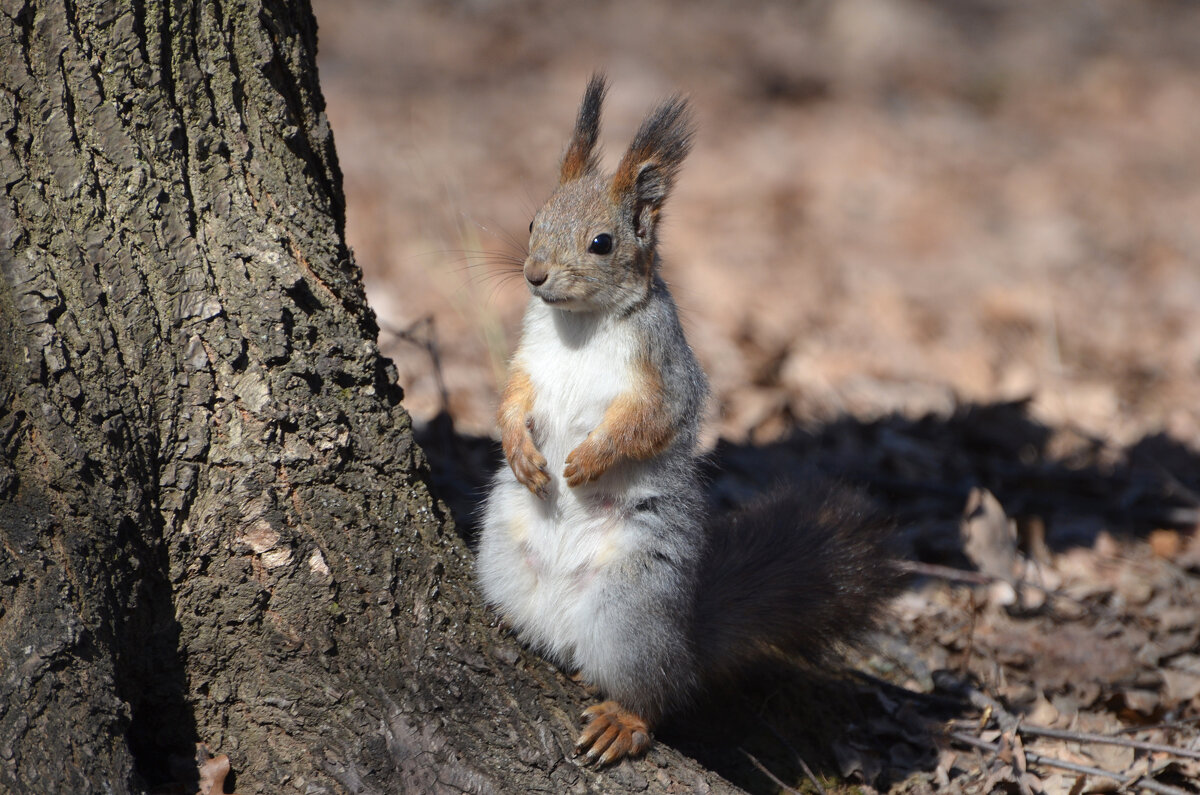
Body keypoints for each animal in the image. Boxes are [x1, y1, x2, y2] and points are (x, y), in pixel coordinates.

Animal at [472, 74, 897, 768]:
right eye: (534, 218)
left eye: (602, 242)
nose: (534, 275)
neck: (579, 324)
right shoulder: (527, 361)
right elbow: (510, 401)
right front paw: (523, 455)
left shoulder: (666, 371)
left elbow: (651, 421)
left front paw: (586, 460)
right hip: (506, 561)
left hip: (633, 608)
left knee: (659, 693)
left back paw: (624, 718)